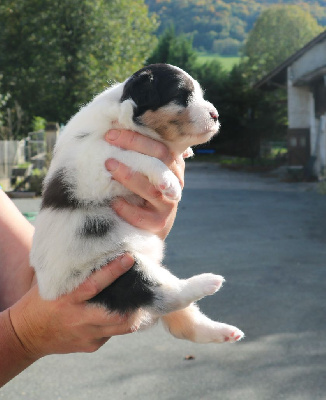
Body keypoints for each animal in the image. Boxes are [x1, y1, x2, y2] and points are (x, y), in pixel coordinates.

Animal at [30, 64, 244, 342]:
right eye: (182, 95)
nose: (216, 115)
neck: (122, 116)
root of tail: (49, 293)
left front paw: (185, 154)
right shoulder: (96, 160)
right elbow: (134, 154)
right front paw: (169, 181)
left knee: (184, 322)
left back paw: (224, 331)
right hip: (121, 271)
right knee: (167, 297)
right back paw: (208, 281)